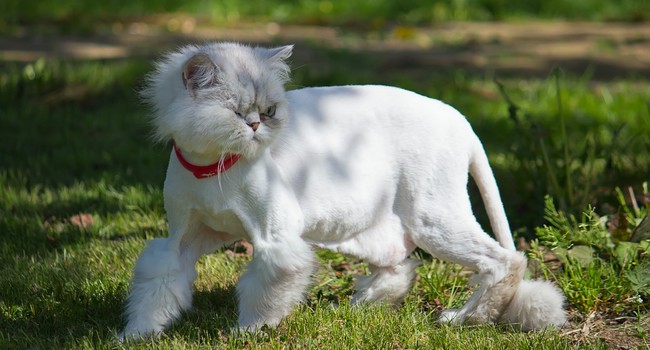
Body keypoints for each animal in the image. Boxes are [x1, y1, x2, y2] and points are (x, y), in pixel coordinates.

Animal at [119, 42, 564, 340]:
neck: (213, 165)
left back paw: (465, 319)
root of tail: (462, 119)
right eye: (236, 112)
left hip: (433, 220)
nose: (256, 126)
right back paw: (359, 307)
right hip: (364, 231)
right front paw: (136, 335)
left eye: (268, 111)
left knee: (506, 261)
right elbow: (158, 288)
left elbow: (264, 296)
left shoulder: (275, 241)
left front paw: (248, 332)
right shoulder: (179, 240)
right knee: (400, 266)